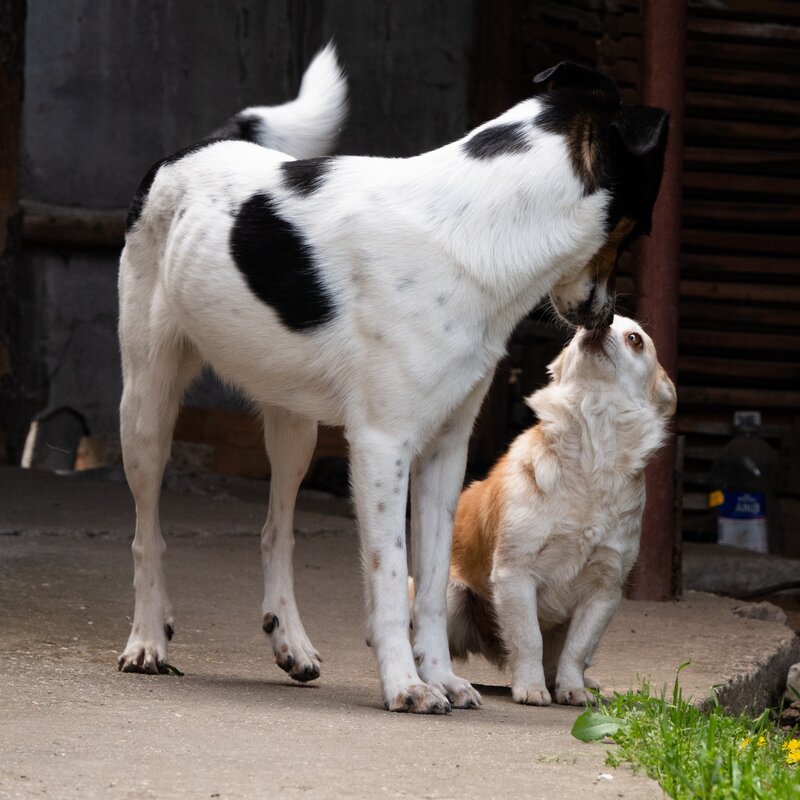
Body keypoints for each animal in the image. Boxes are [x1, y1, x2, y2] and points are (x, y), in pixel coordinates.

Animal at [445, 316, 676, 706]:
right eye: (578, 331)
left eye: (635, 339)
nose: (599, 323)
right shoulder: (515, 574)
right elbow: (528, 639)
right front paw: (530, 687)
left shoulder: (604, 590)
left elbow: (578, 648)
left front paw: (572, 688)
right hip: (450, 597)